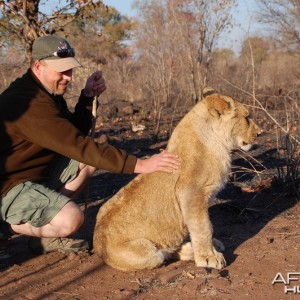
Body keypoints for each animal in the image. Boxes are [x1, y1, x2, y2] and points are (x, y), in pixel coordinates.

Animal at [94, 89, 260, 272]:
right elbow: (203, 227)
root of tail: (96, 244)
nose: (260, 132)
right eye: (247, 117)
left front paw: (208, 252)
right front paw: (208, 258)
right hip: (149, 253)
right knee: (164, 254)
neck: (216, 143)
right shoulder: (190, 193)